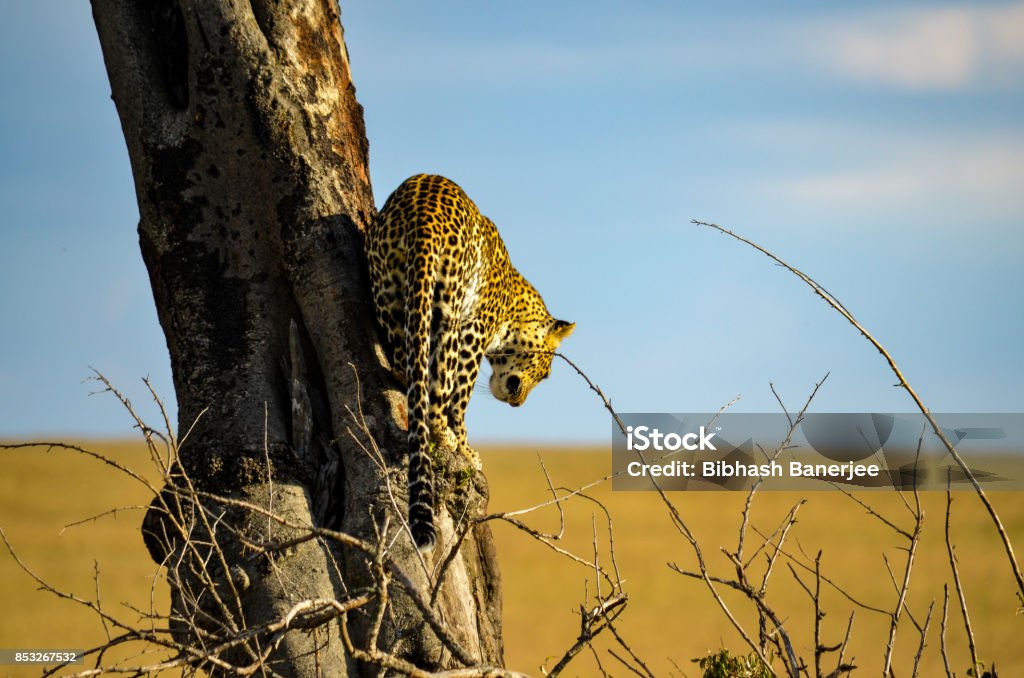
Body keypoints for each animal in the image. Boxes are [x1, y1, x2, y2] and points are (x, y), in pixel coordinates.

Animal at [366, 174, 574, 551]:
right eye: (546, 373)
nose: (519, 405)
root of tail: (423, 218)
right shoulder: (475, 331)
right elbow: (458, 401)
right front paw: (467, 448)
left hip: (389, 292)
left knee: (407, 366)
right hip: (450, 312)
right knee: (437, 400)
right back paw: (449, 439)